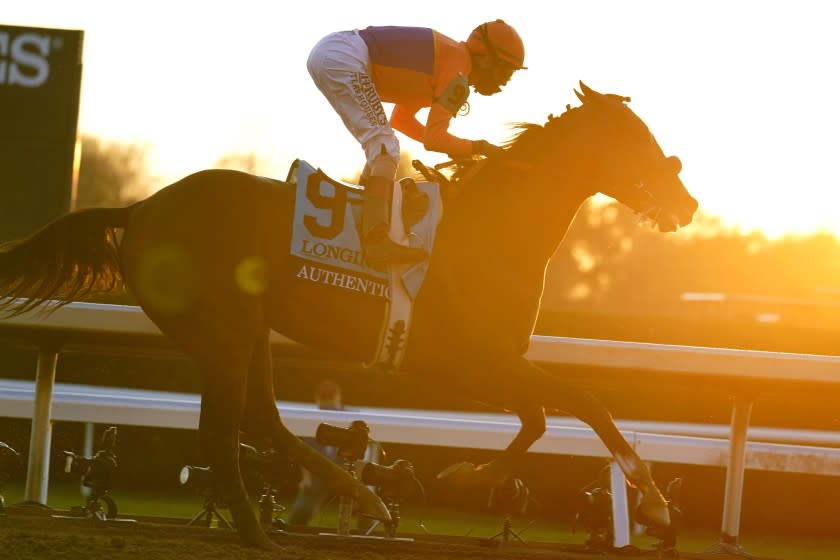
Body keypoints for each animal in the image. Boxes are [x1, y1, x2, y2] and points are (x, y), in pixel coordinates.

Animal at [0, 82, 696, 548]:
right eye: (635, 139)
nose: (687, 202)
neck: (493, 233)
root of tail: (141, 208)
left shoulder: (490, 364)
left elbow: (544, 417)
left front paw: (466, 475)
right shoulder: (471, 362)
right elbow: (579, 404)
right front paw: (657, 503)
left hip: (247, 329)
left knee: (262, 418)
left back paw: (355, 495)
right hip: (223, 331)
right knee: (225, 433)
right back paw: (261, 530)